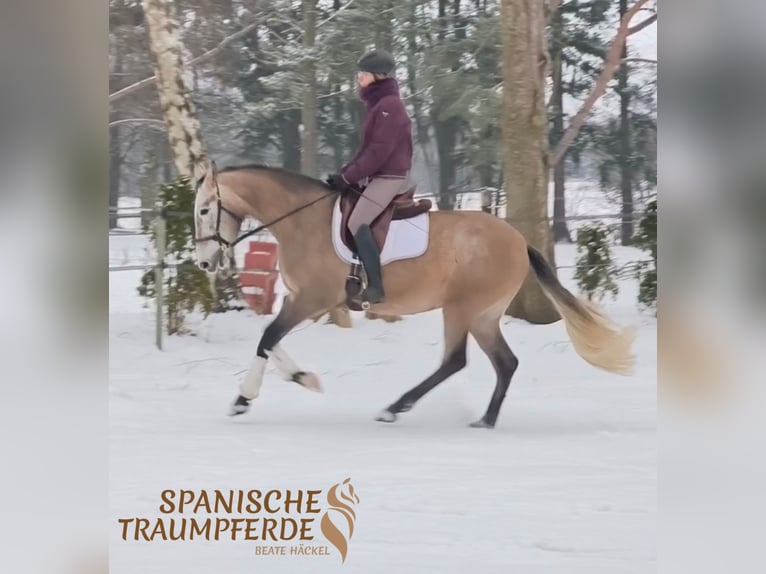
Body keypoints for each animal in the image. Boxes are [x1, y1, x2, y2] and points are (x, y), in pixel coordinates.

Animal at [192, 161, 636, 428]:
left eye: (203, 210)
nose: (204, 263)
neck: (303, 221)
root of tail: (517, 239)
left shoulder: (312, 300)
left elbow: (268, 337)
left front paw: (243, 399)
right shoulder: (303, 300)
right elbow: (271, 339)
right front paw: (305, 379)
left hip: (461, 309)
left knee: (455, 361)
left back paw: (395, 408)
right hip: (484, 316)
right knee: (505, 363)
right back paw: (485, 419)